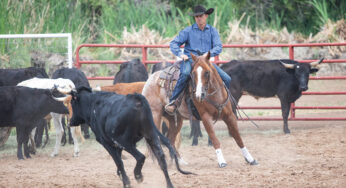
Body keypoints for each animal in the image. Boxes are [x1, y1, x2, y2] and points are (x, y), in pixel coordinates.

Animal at [53, 86, 192, 188]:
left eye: (72, 102)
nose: (70, 122)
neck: (93, 105)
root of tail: (137, 99)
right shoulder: (118, 145)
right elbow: (119, 161)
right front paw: (121, 176)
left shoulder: (107, 142)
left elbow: (118, 161)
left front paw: (126, 181)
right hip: (151, 136)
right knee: (161, 158)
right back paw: (169, 184)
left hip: (125, 141)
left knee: (140, 157)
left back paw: (138, 176)